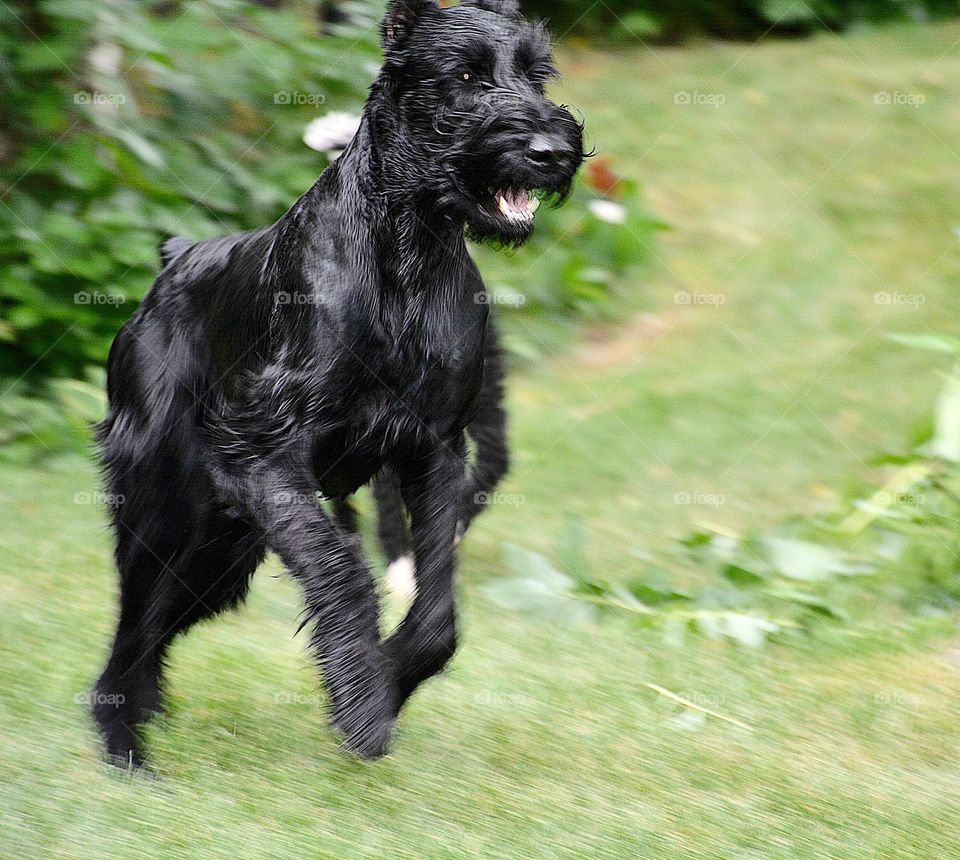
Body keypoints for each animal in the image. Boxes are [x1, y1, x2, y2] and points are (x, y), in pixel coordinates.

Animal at [94, 0, 580, 764]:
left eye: (537, 73)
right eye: (467, 75)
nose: (551, 151)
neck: (407, 255)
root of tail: (174, 261)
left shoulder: (434, 451)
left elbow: (437, 608)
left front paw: (393, 675)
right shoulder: (262, 452)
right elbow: (342, 568)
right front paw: (361, 697)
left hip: (220, 548)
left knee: (157, 623)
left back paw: (143, 718)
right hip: (161, 507)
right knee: (133, 621)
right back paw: (124, 748)